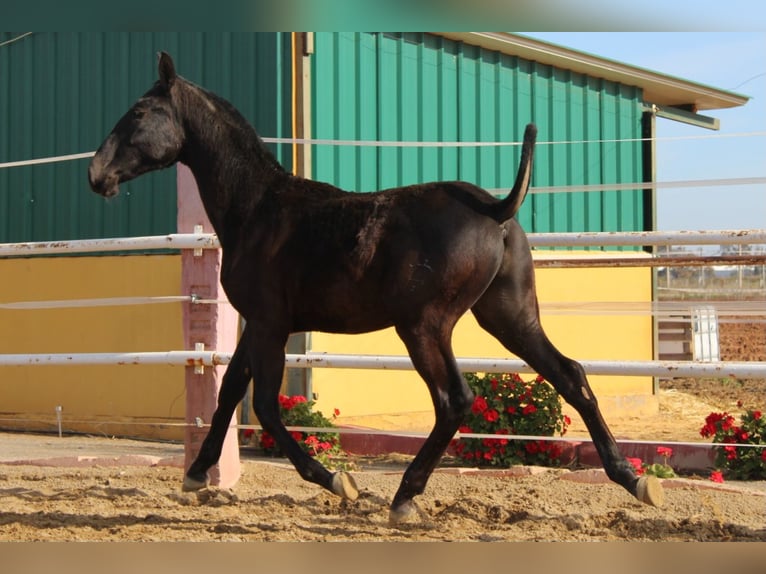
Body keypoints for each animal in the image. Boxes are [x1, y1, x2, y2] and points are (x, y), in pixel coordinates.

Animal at [90, 51, 664, 524]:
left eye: (140, 113)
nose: (97, 174)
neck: (258, 209)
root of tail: (494, 209)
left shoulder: (272, 325)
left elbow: (267, 407)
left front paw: (337, 481)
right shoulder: (260, 323)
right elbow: (231, 390)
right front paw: (195, 474)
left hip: (424, 327)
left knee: (455, 400)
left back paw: (405, 499)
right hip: (509, 317)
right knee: (570, 375)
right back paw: (634, 480)